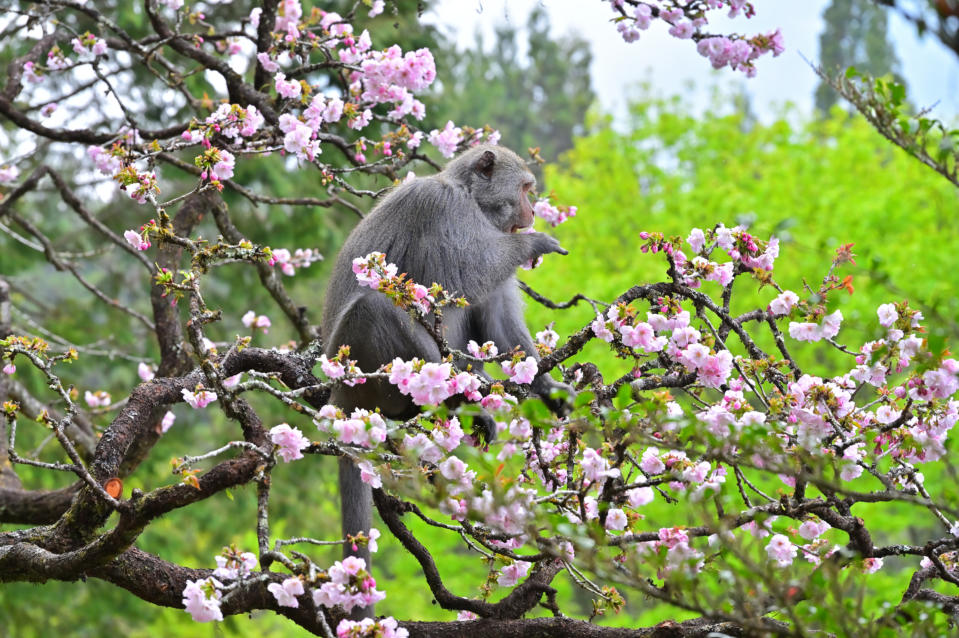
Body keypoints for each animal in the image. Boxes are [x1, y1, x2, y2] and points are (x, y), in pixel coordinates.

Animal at [322, 145, 572, 616]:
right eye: (525, 189)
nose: (531, 212)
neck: (471, 201)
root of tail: (341, 395)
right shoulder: (441, 209)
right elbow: (466, 273)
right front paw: (532, 243)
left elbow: (496, 316)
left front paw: (548, 389)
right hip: (364, 366)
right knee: (375, 306)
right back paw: (457, 396)